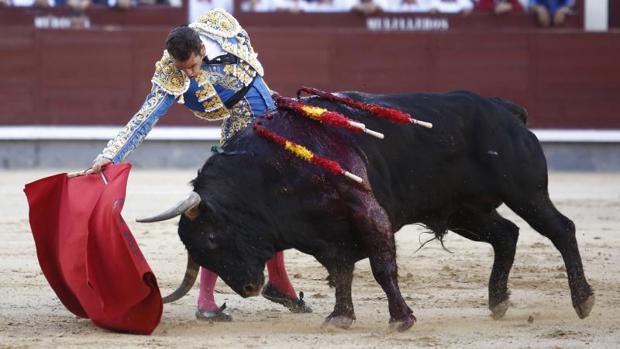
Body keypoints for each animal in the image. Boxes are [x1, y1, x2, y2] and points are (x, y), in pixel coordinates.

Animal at [142, 89, 596, 328]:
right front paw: (340, 318)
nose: (250, 288)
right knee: (507, 235)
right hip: (464, 212)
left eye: (212, 237)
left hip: (526, 193)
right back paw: (498, 301)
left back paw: (582, 301)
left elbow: (380, 265)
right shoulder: (328, 234)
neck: (273, 171)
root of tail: (506, 110)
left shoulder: (365, 210)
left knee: (562, 229)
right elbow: (342, 271)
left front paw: (401, 319)